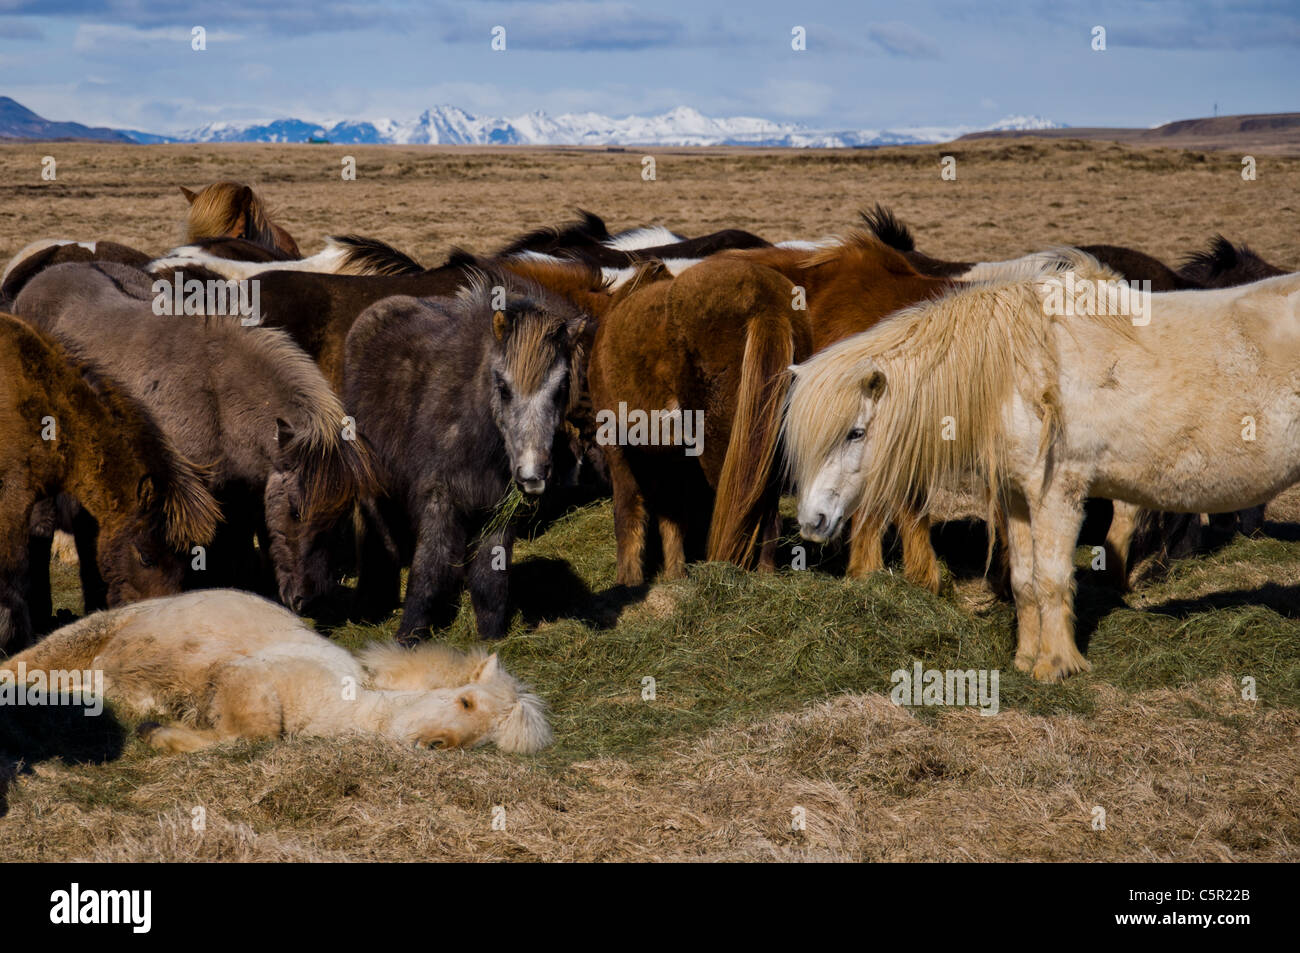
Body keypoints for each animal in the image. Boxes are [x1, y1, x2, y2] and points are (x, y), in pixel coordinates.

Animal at [0, 587, 548, 748]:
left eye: (486, 741)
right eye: (465, 700)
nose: (437, 743)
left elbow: (243, 737)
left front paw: (160, 731)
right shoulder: (243, 675)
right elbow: (256, 731)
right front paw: (159, 734)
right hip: (89, 635)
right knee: (26, 664)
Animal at [780, 250, 1300, 686]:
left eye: (855, 433)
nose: (812, 521)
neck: (1013, 371)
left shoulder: (1058, 495)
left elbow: (1052, 580)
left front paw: (1057, 665)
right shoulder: (1018, 499)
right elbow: (1024, 582)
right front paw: (1025, 659)